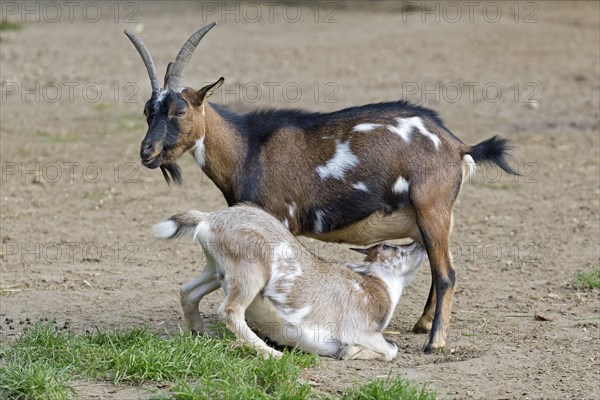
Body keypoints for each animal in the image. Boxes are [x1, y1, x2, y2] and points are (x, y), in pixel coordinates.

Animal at [155, 205, 426, 360]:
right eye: (387, 246)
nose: (420, 244)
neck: (375, 289)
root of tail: (209, 219)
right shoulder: (359, 329)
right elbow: (391, 350)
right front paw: (347, 351)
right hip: (250, 272)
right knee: (229, 310)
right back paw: (272, 354)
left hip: (216, 271)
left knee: (188, 291)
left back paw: (199, 335)